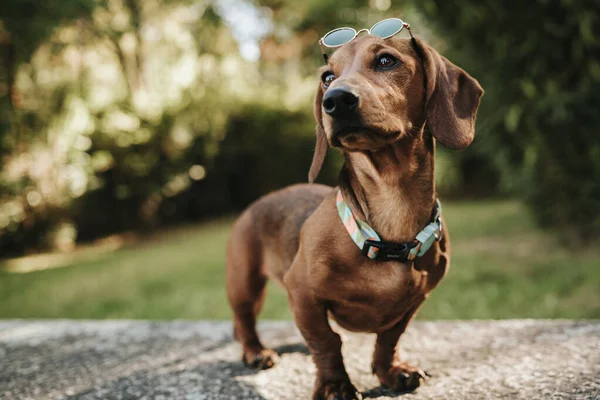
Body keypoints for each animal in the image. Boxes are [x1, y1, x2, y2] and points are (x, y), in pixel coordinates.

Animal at [225, 32, 482, 400]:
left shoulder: (413, 302)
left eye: (386, 61)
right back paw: (256, 351)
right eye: (327, 77)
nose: (335, 100)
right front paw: (335, 385)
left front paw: (392, 372)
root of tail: (257, 202)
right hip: (244, 283)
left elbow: (389, 338)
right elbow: (327, 342)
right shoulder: (301, 291)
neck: (391, 210)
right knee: (245, 321)